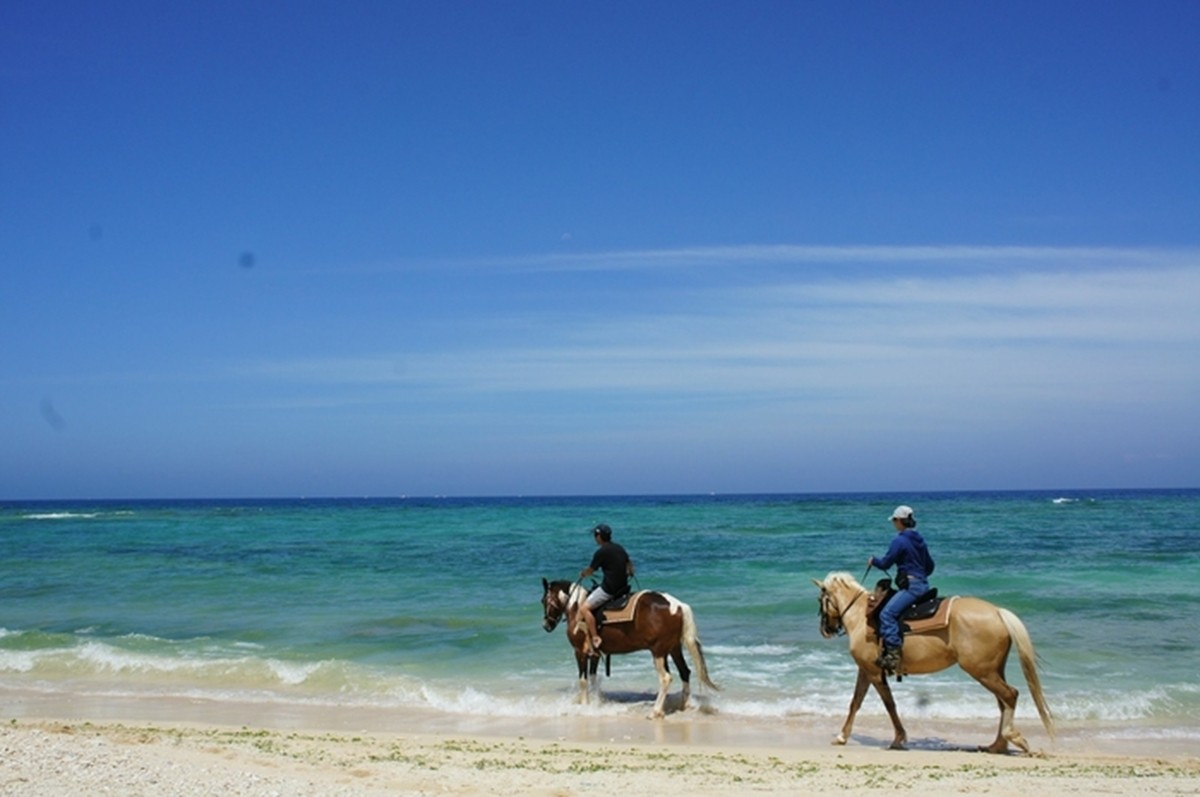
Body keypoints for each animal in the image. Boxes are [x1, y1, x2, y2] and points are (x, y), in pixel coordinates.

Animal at [540, 578, 715, 715]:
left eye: (543, 600)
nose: (546, 626)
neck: (578, 607)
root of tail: (677, 605)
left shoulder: (579, 652)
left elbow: (583, 680)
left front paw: (585, 705)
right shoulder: (595, 654)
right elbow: (593, 678)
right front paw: (597, 703)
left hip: (659, 651)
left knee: (666, 677)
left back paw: (656, 711)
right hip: (673, 648)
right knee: (685, 671)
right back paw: (683, 705)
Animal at [811, 568, 1056, 748]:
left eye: (821, 599)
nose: (825, 630)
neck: (861, 617)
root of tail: (997, 612)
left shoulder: (873, 672)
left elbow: (889, 704)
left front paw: (899, 738)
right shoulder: (865, 670)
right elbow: (855, 702)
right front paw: (843, 736)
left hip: (982, 671)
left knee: (1010, 695)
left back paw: (1011, 738)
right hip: (994, 670)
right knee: (1003, 701)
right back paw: (997, 746)